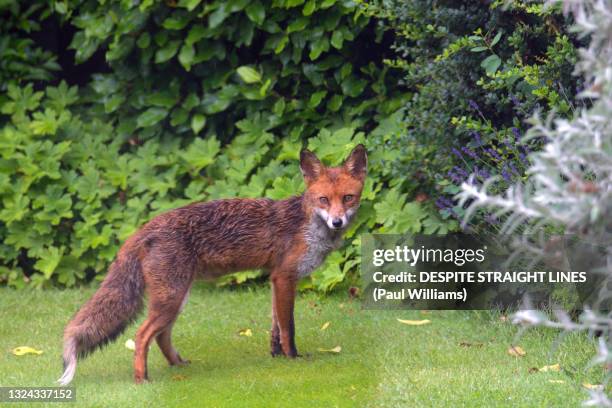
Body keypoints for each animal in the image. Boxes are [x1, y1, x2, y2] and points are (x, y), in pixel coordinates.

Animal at [59, 144, 368, 386]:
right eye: (324, 200)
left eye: (348, 198)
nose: (337, 221)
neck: (308, 223)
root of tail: (145, 228)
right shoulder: (285, 277)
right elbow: (288, 328)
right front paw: (293, 359)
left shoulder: (275, 280)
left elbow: (275, 328)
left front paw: (275, 357)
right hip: (170, 298)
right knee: (141, 334)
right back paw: (141, 379)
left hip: (176, 298)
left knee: (161, 336)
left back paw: (178, 365)